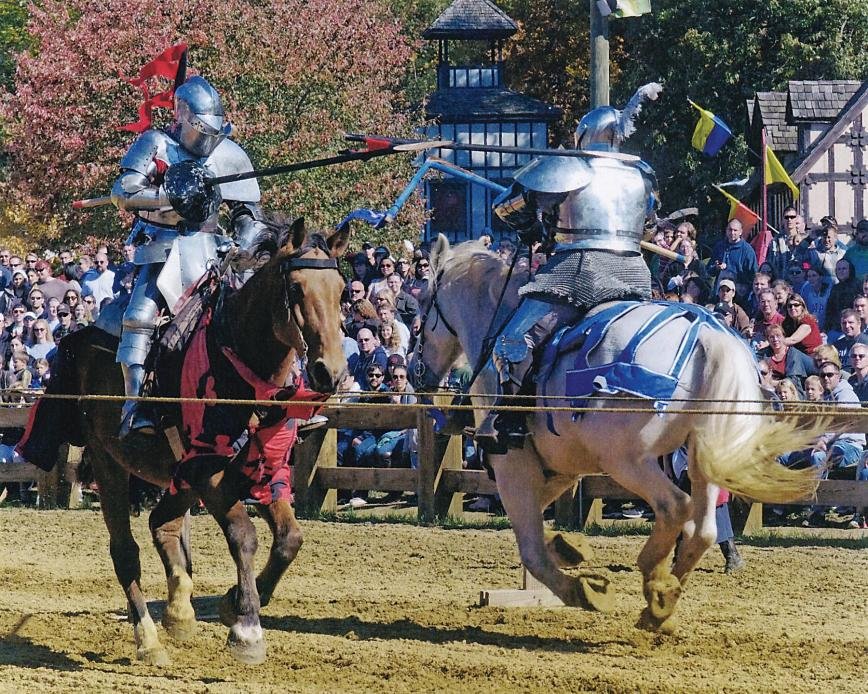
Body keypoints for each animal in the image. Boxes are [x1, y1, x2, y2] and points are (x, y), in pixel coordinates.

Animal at [23, 220, 350, 668]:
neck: (241, 373)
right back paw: (149, 640)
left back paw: (180, 610)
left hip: (174, 476)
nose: (329, 372)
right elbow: (243, 535)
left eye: (341, 289)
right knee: (125, 550)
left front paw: (234, 603)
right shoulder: (207, 471)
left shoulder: (263, 469)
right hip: (111, 463)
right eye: (297, 289)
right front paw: (246, 628)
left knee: (163, 524)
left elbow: (289, 539)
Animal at [410, 239, 824, 636]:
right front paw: (569, 548)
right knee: (702, 530)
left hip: (628, 461)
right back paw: (662, 600)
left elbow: (532, 550)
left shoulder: (514, 470)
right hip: (699, 455)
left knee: (675, 508)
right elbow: (541, 535)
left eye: (422, 308)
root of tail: (706, 337)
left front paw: (583, 590)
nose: (418, 371)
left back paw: (655, 583)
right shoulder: (558, 470)